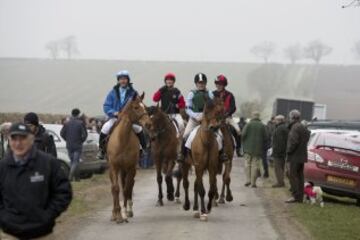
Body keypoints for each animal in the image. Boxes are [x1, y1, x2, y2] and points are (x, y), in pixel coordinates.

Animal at [107, 93, 152, 223]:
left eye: (145, 106)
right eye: (136, 107)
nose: (149, 123)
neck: (122, 140)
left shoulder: (131, 167)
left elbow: (127, 188)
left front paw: (124, 213)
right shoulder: (114, 167)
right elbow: (116, 188)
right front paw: (117, 215)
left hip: (128, 169)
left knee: (130, 185)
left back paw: (129, 210)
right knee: (114, 188)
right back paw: (114, 214)